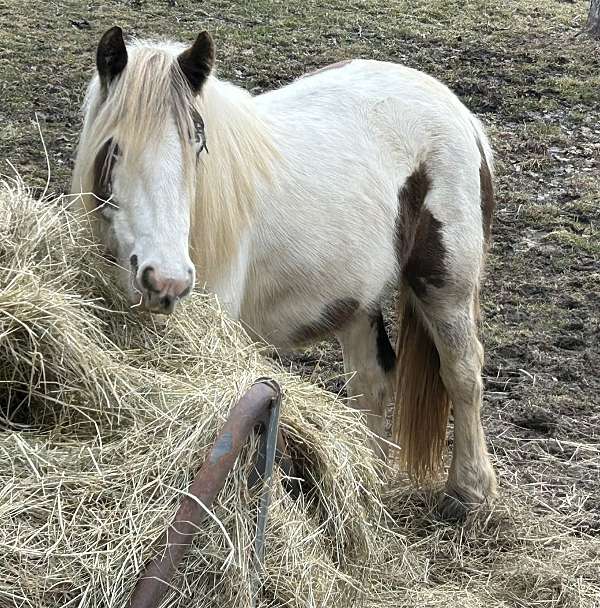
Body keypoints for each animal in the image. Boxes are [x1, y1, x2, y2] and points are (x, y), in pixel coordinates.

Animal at [71, 26, 496, 516]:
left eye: (198, 143)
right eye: (115, 148)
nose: (167, 280)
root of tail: (456, 110)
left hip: (445, 287)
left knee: (462, 373)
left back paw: (470, 493)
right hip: (356, 297)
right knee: (371, 380)